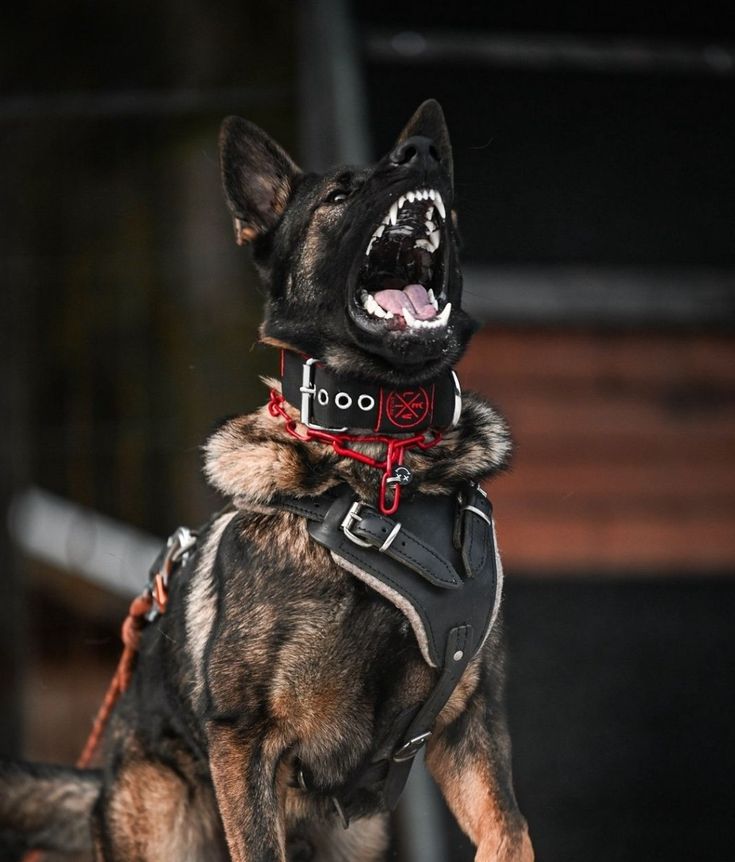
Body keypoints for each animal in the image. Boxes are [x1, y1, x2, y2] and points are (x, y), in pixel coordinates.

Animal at [0, 99, 532, 862]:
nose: (422, 154)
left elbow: (510, 832)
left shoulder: (470, 731)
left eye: (437, 178)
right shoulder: (245, 740)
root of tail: (102, 782)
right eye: (338, 194)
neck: (383, 465)